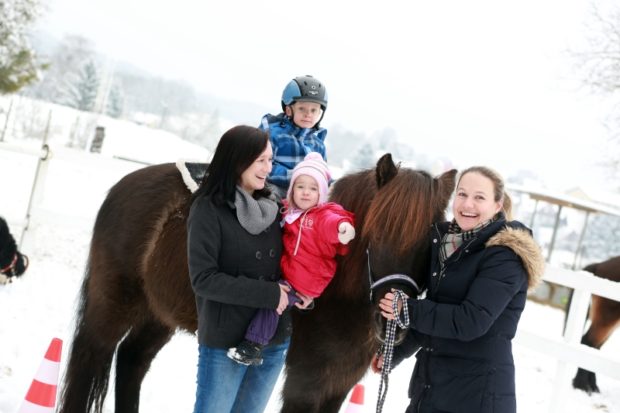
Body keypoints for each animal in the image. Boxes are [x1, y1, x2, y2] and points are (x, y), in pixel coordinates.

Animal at [57, 153, 456, 410]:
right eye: (376, 231)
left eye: (430, 238)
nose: (393, 318)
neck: (340, 296)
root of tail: (124, 186)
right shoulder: (304, 384)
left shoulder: (337, 385)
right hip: (112, 307)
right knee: (91, 356)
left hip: (159, 314)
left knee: (132, 360)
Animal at [572, 254, 620, 392]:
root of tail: (600, 265)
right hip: (607, 318)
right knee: (588, 342)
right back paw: (582, 385)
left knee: (595, 348)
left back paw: (592, 386)